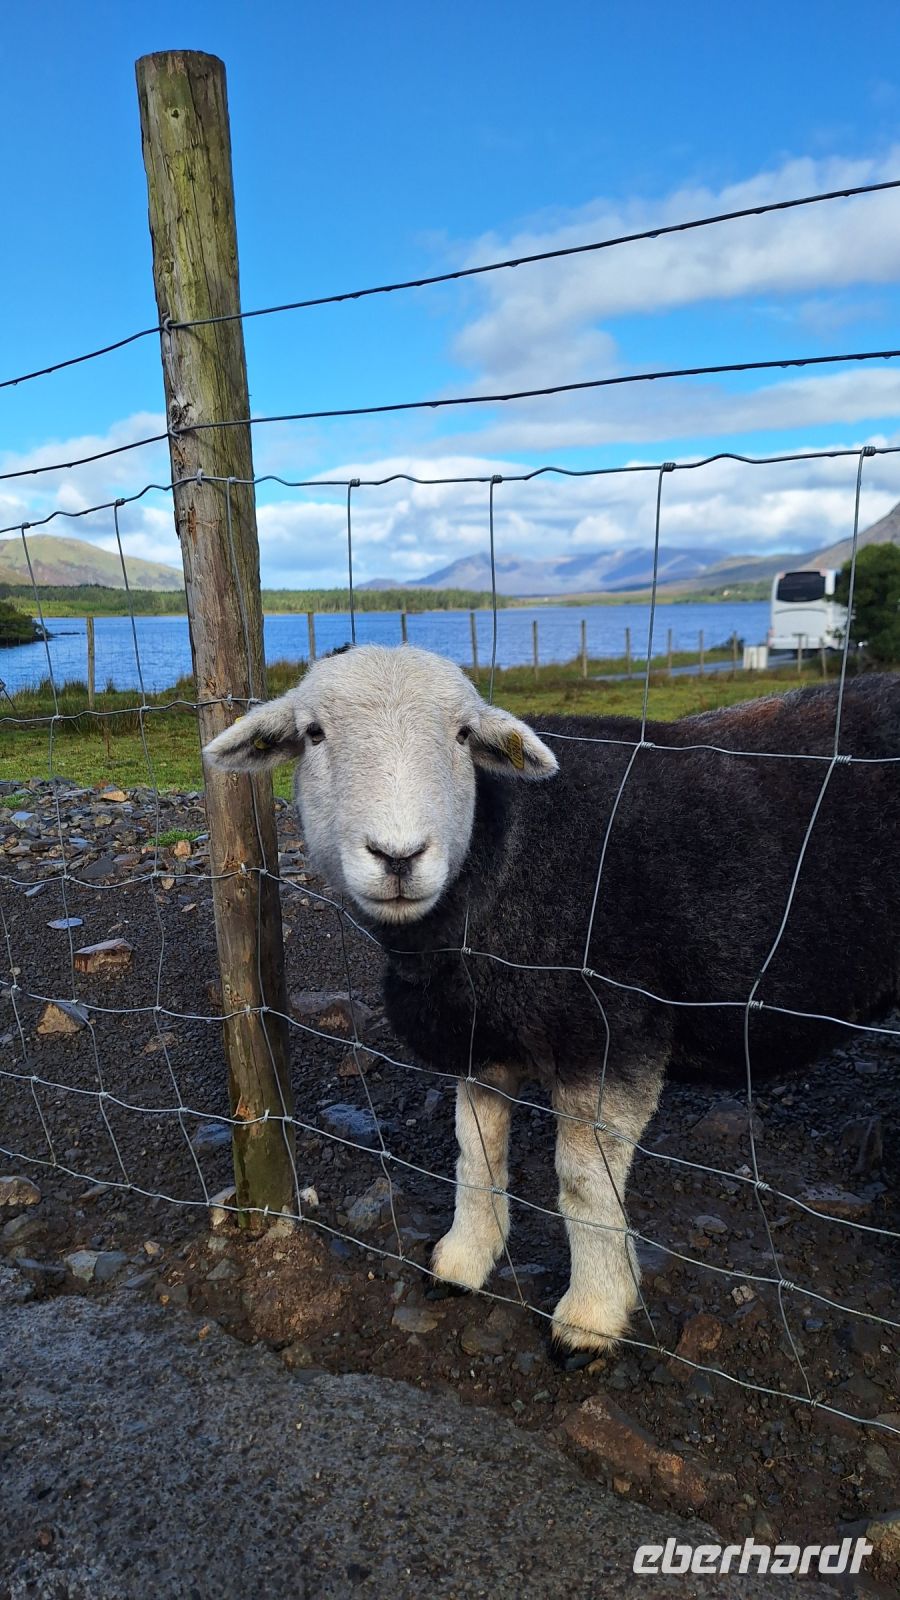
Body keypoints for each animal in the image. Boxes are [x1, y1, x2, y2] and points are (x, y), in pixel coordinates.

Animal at [204, 645, 900, 1367]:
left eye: (462, 735)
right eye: (313, 734)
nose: (398, 857)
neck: (503, 860)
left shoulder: (613, 1034)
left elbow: (584, 1183)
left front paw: (591, 1315)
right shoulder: (481, 1037)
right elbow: (476, 1153)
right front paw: (464, 1260)